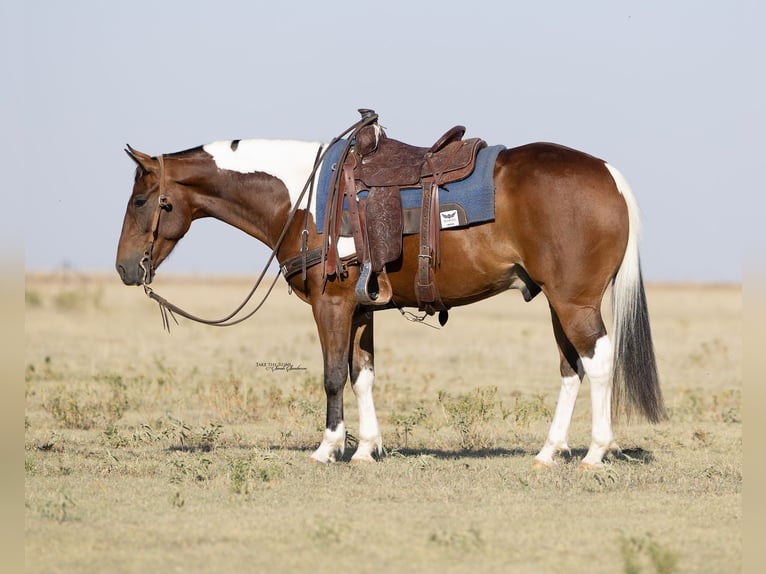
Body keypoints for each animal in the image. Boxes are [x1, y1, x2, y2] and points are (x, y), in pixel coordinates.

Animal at [115, 117, 665, 469]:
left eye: (142, 200)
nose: (123, 268)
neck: (306, 199)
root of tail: (608, 175)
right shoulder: (361, 308)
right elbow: (363, 375)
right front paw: (366, 448)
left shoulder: (331, 305)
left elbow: (333, 375)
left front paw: (329, 447)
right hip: (556, 302)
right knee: (571, 368)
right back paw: (550, 452)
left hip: (574, 303)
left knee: (598, 362)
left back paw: (595, 452)